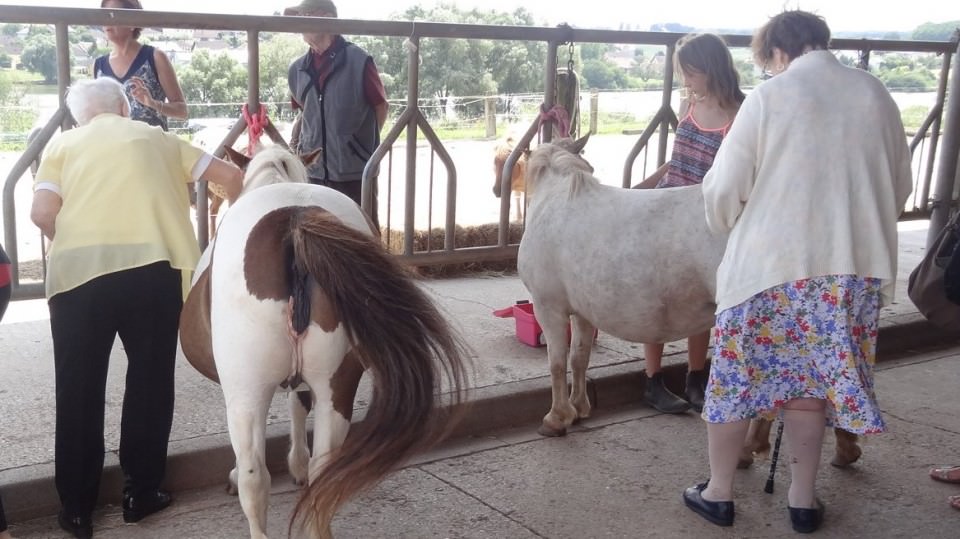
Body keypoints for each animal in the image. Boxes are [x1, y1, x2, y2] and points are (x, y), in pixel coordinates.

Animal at [178, 146, 470, 536]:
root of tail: (295, 220)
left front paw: (243, 471)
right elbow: (299, 404)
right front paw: (298, 465)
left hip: (246, 390)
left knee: (255, 479)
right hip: (338, 381)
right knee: (324, 470)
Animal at [520, 137, 724, 436]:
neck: (557, 197)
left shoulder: (548, 307)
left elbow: (556, 363)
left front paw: (556, 418)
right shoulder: (583, 312)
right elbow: (579, 357)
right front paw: (579, 408)